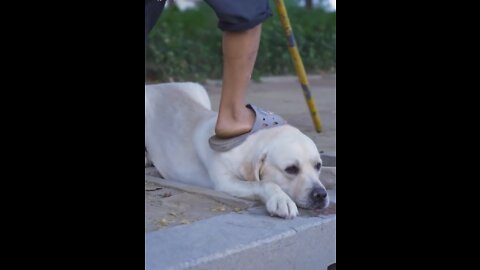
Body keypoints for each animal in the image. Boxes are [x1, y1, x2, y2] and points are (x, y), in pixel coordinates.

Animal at [144, 83, 332, 219]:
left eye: (318, 165)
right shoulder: (226, 182)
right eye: (291, 169)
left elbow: (330, 172)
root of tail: (156, 85)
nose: (320, 195)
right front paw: (281, 199)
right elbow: (262, 183)